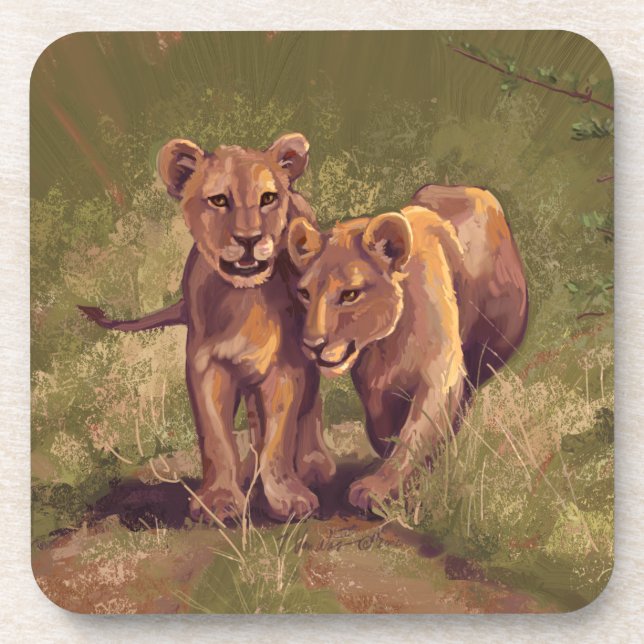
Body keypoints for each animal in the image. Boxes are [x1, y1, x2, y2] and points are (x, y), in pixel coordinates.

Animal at [80, 133, 336, 522]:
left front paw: (287, 497)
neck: (246, 299)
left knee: (309, 406)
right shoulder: (206, 367)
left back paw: (313, 465)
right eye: (219, 200)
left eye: (268, 198)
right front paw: (219, 500)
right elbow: (217, 439)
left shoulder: (286, 367)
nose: (249, 238)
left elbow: (280, 436)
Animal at [287, 185, 527, 512]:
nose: (313, 345)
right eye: (305, 293)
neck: (388, 342)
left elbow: (415, 434)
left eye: (350, 294)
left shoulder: (440, 374)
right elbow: (385, 424)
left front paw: (376, 488)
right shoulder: (374, 383)